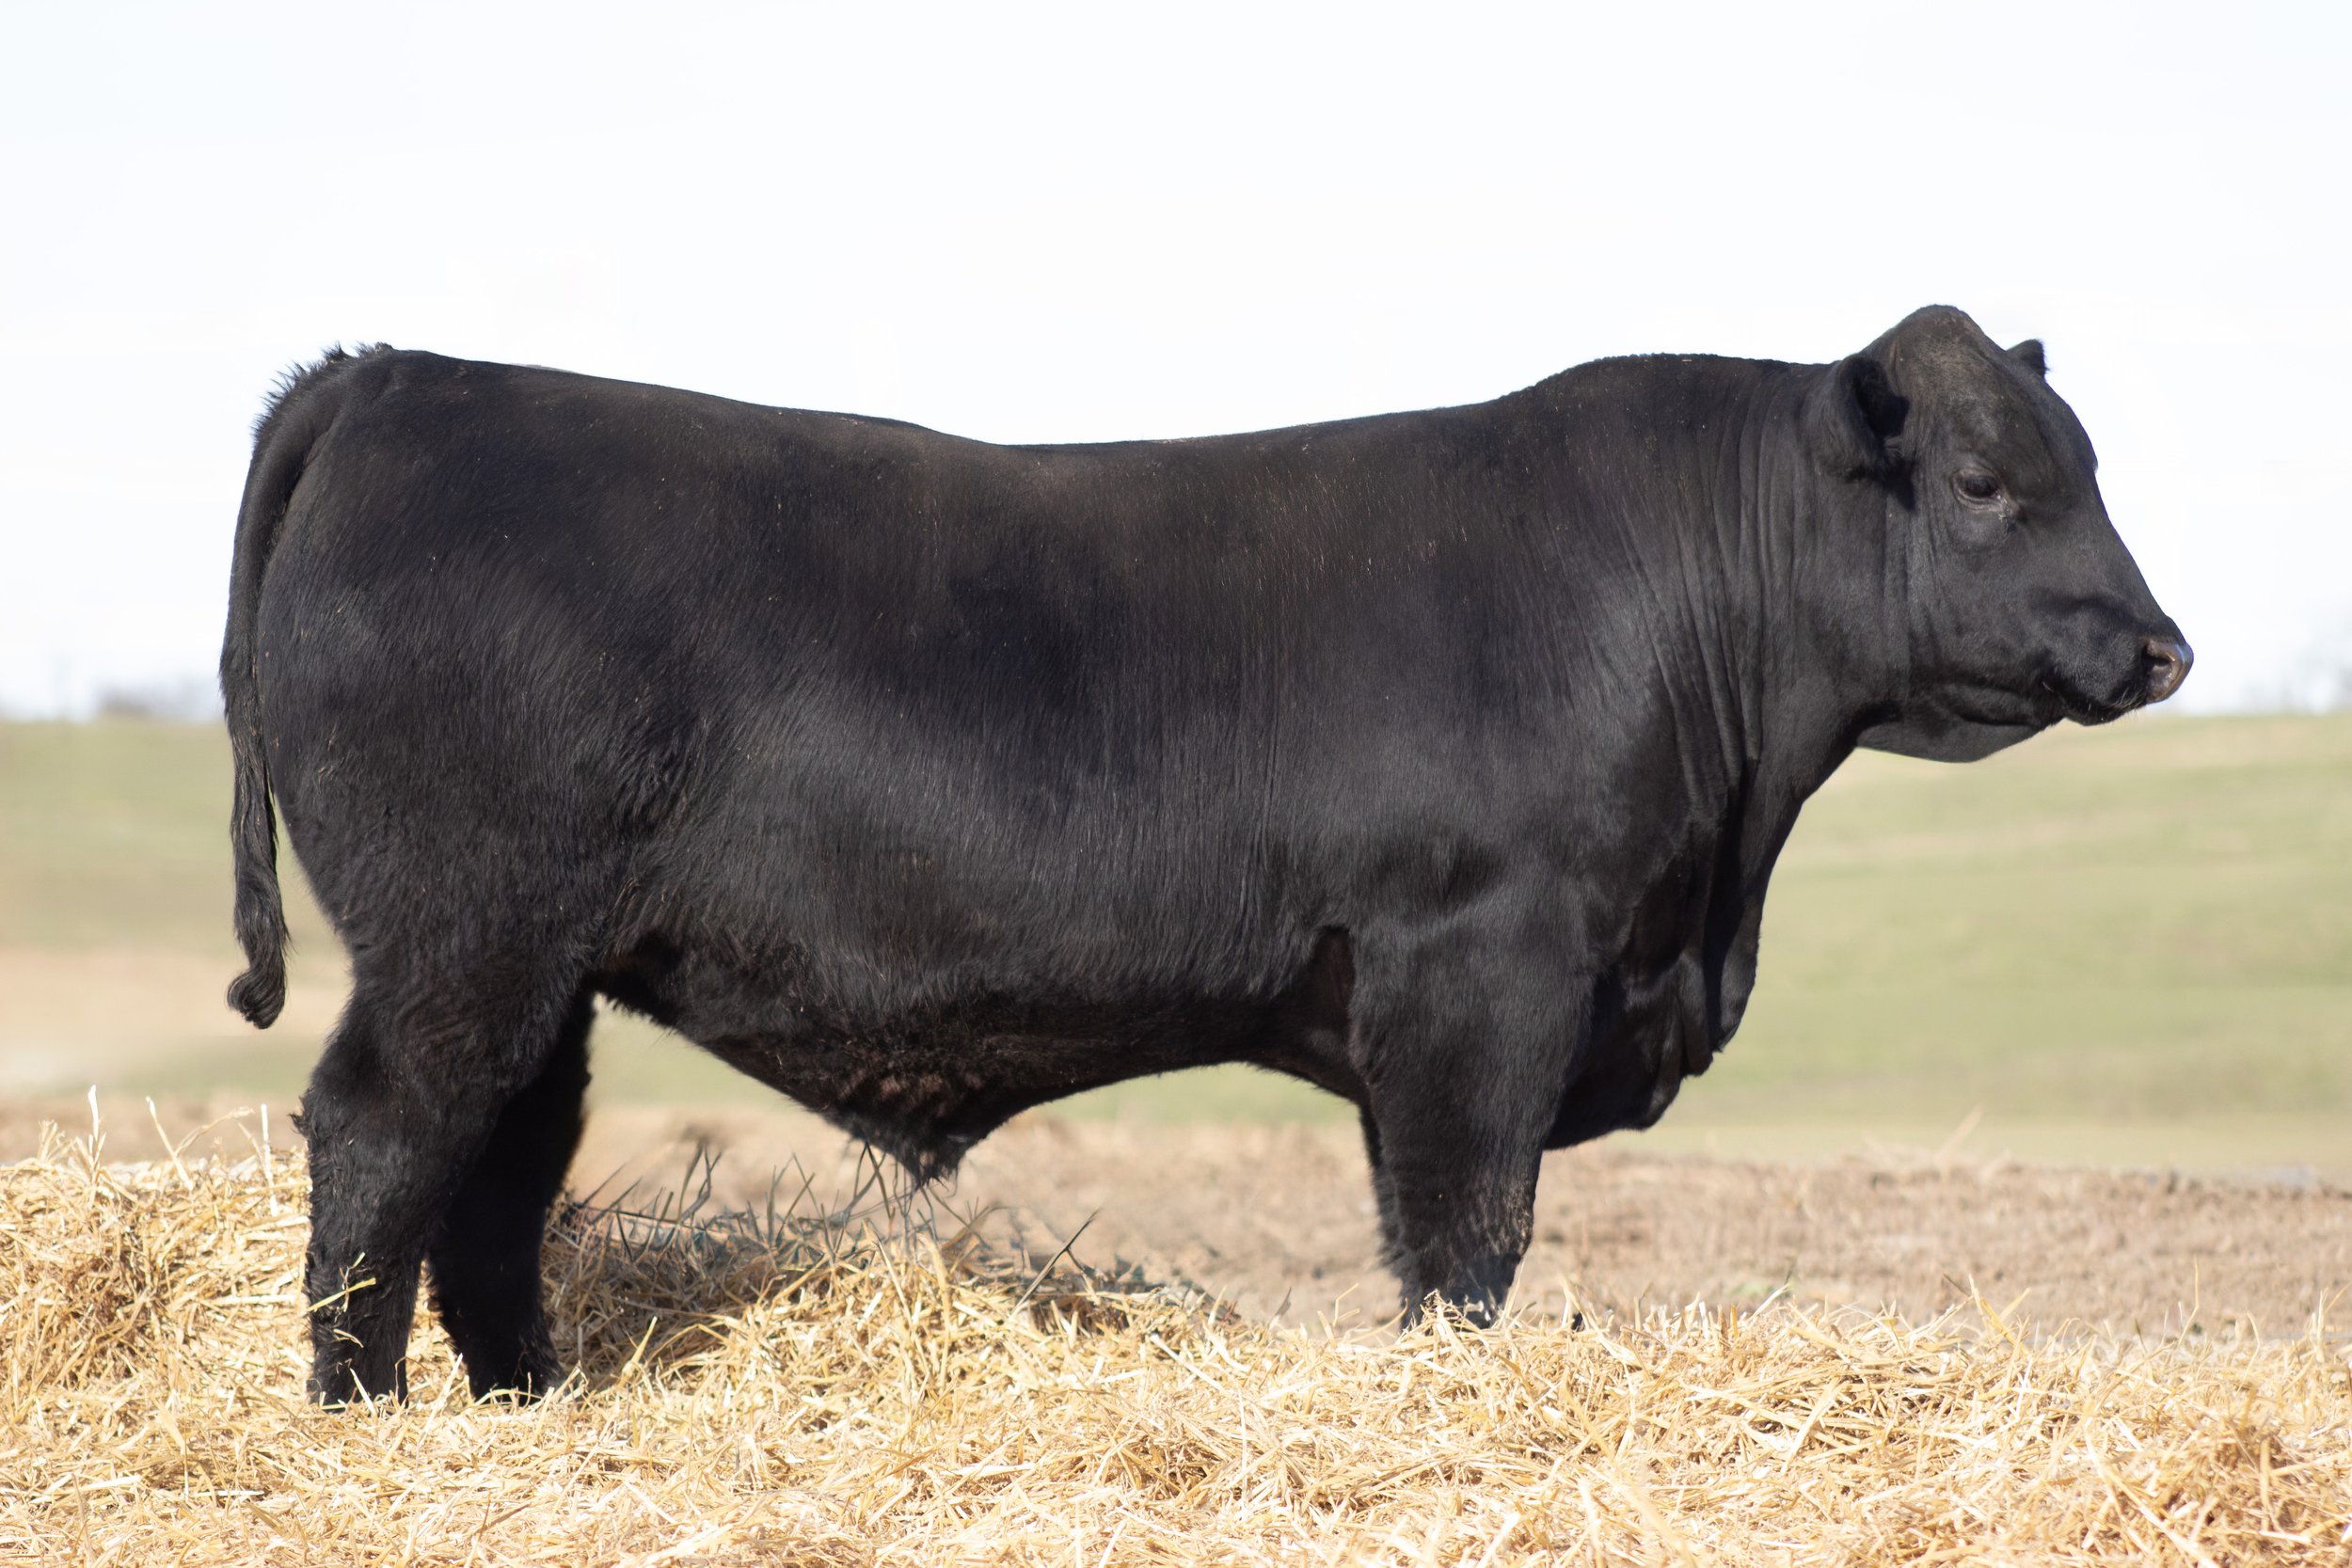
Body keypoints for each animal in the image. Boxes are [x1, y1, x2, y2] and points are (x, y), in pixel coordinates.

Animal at [220, 306, 2188, 1403]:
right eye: (1990, 485)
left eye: (2088, 464)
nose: (2160, 646)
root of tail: (396, 380)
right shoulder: (1479, 965)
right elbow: (1465, 1233)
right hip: (465, 934)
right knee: (383, 1132)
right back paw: (363, 1412)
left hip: (542, 962)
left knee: (499, 1165)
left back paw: (529, 1406)